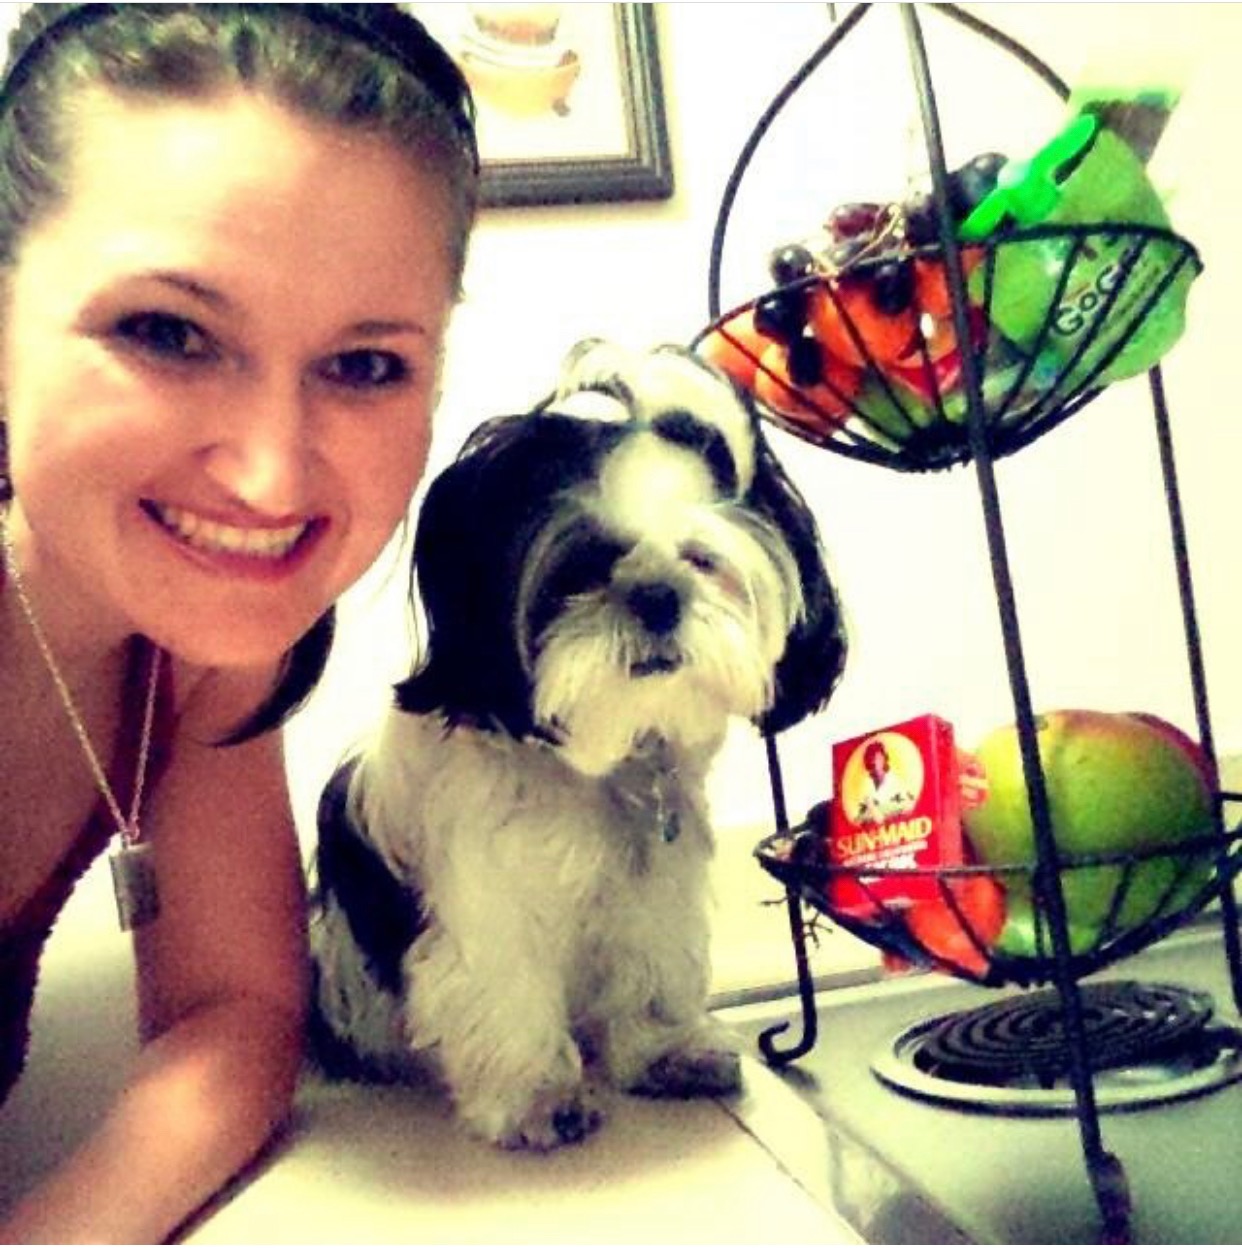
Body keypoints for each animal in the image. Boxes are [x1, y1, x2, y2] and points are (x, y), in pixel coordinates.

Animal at [309, 340, 846, 1150]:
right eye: (585, 567)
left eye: (701, 560)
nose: (656, 595)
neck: (596, 767)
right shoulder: (489, 898)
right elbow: (506, 990)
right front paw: (539, 1097)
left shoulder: (656, 884)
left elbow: (653, 963)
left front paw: (665, 1052)